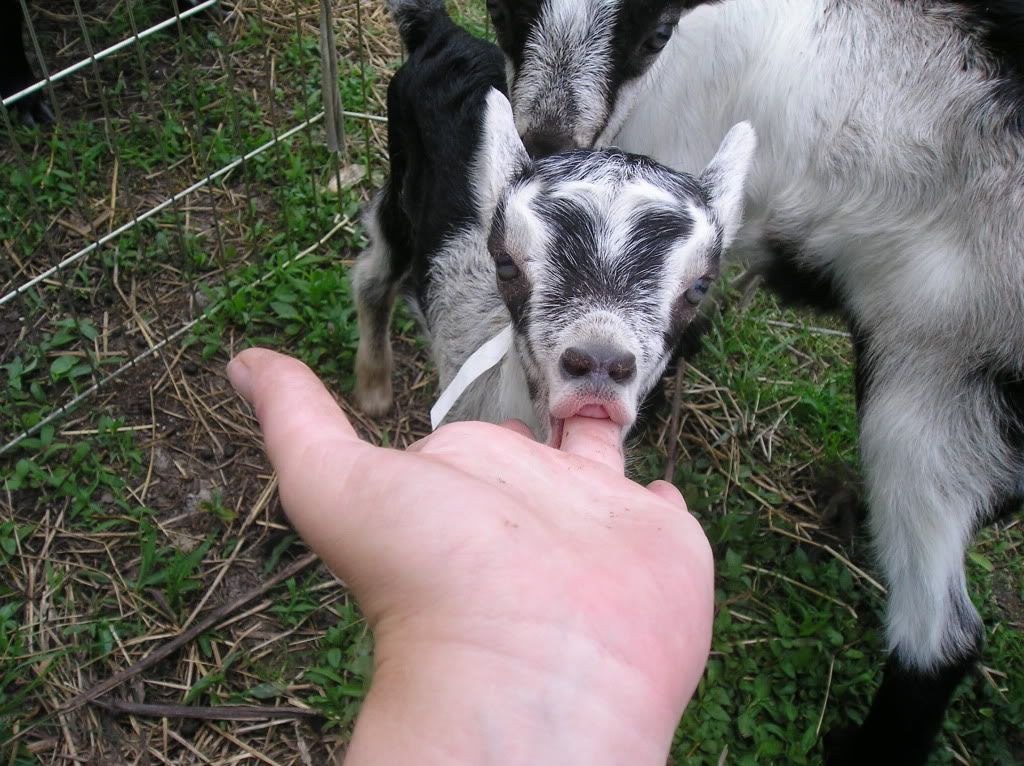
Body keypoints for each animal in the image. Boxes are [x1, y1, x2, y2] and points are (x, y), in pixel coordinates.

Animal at [352, 0, 755, 450]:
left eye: (700, 287)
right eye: (505, 264)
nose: (599, 362)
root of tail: (441, 32)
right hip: (402, 170)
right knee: (375, 270)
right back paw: (373, 388)